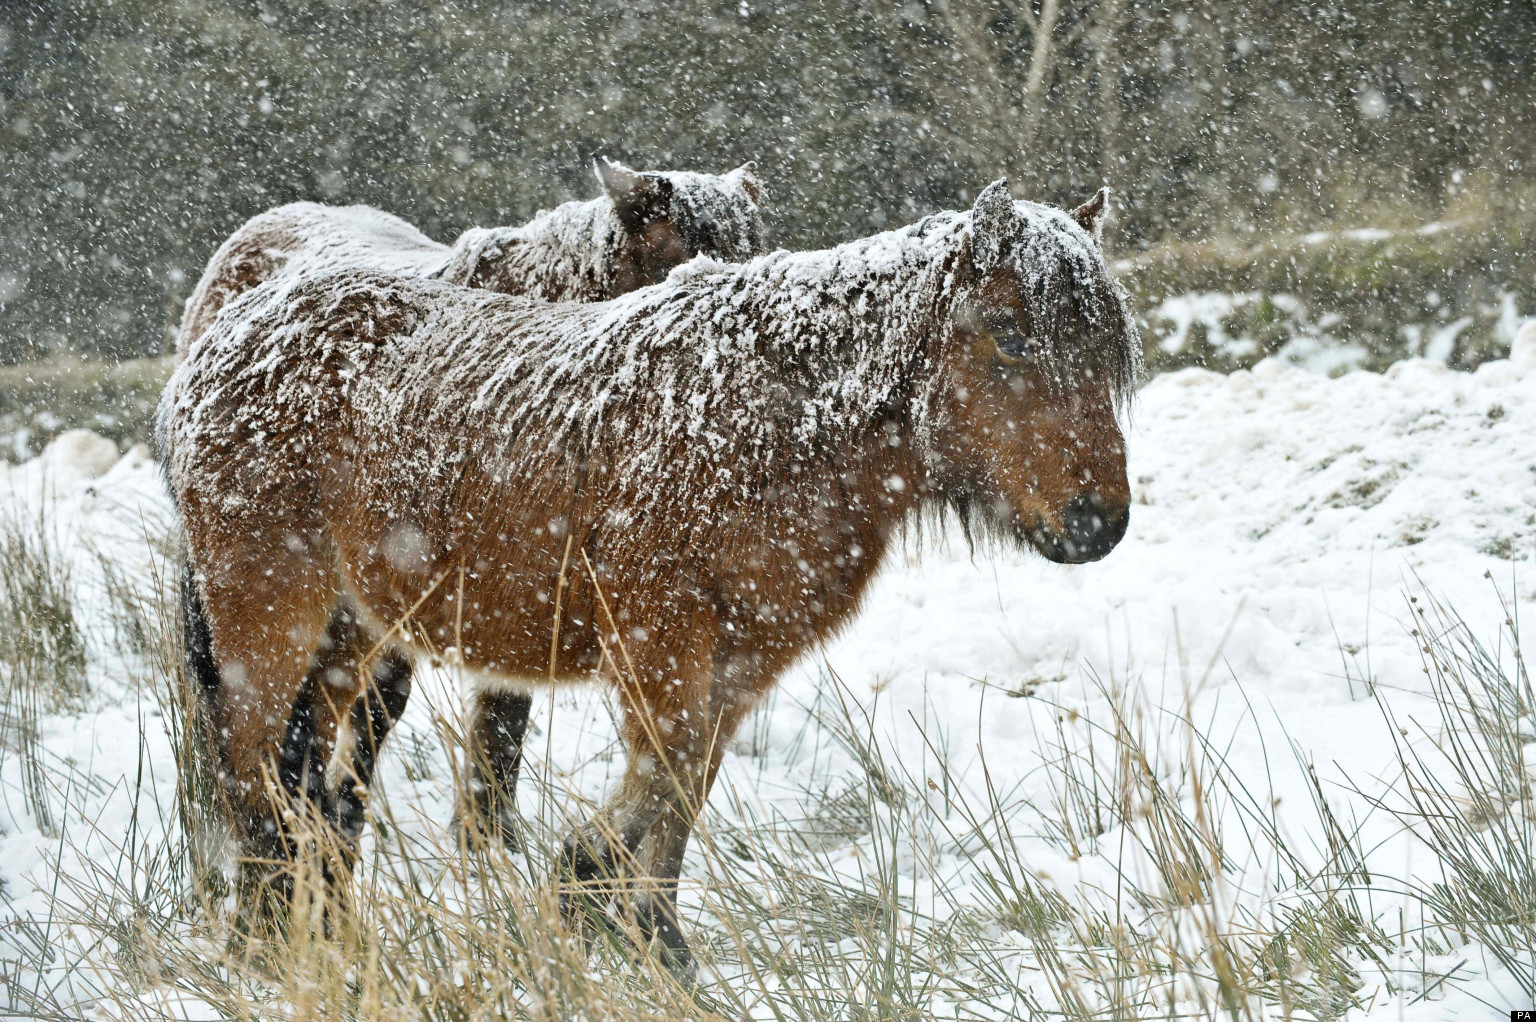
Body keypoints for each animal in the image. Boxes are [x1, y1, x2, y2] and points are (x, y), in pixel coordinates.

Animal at [159, 178, 1138, 977]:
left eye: (1109, 355)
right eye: (1011, 336)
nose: (1098, 522)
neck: (768, 426)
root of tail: (226, 335)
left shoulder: (738, 665)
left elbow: (676, 804)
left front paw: (637, 934)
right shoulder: (662, 653)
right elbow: (656, 787)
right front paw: (603, 910)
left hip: (348, 635)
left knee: (306, 783)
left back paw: (303, 928)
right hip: (268, 619)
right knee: (251, 772)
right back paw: (275, 942)